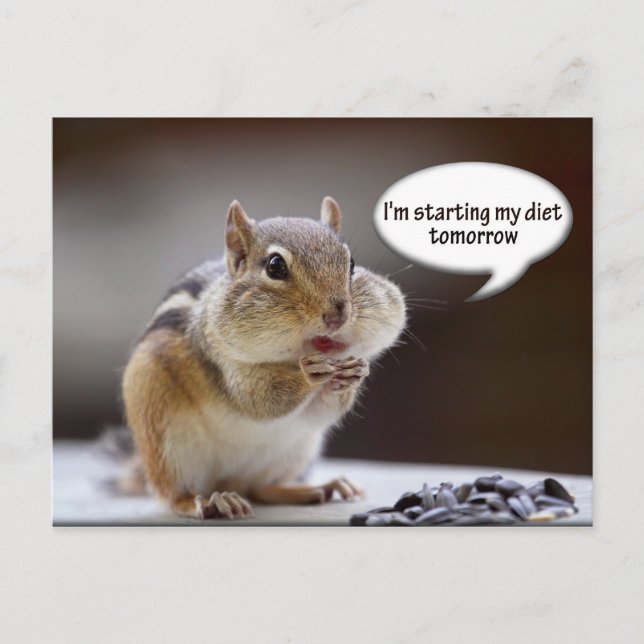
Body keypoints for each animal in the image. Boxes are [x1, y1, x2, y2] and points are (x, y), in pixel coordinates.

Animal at [122, 197, 406, 519]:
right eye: (275, 266)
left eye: (352, 264)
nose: (337, 315)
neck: (287, 360)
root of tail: (229, 481)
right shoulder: (225, 362)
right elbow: (259, 399)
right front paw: (309, 375)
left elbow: (322, 411)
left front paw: (354, 375)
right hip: (164, 442)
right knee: (173, 495)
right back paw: (208, 502)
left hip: (296, 451)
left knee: (261, 488)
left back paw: (319, 488)